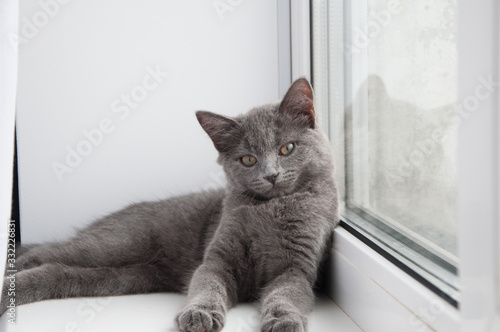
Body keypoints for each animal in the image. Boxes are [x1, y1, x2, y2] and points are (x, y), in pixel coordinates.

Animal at [1, 78, 338, 332]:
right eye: (248, 160)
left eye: (287, 148)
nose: (271, 175)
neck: (270, 208)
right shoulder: (218, 257)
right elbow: (206, 284)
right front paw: (199, 313)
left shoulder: (297, 266)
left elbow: (288, 293)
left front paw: (284, 319)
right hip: (113, 244)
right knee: (43, 253)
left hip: (122, 276)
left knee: (56, 271)